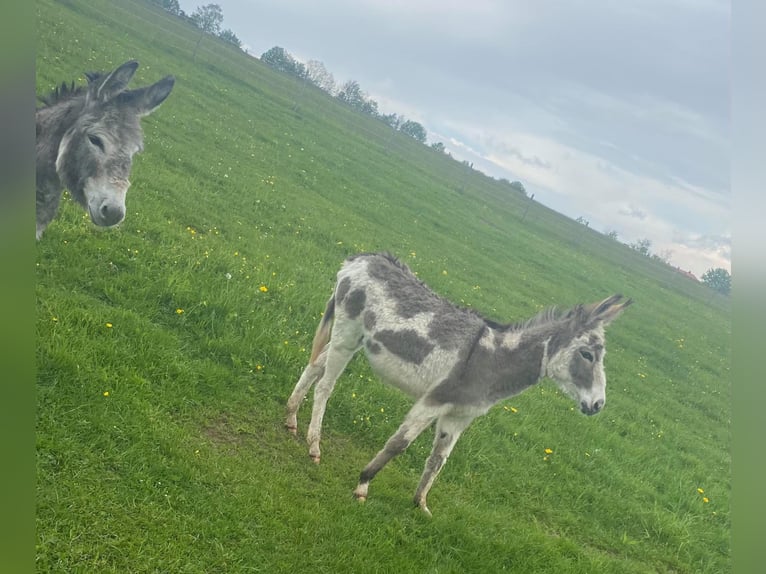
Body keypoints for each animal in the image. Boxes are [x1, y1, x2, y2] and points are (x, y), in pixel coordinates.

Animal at [284, 254, 632, 516]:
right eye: (587, 354)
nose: (597, 405)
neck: (494, 358)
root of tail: (363, 258)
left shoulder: (459, 416)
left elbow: (439, 459)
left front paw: (421, 504)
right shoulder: (433, 400)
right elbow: (398, 444)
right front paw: (363, 485)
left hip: (355, 339)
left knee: (315, 366)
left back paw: (290, 417)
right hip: (347, 331)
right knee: (326, 385)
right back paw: (314, 445)